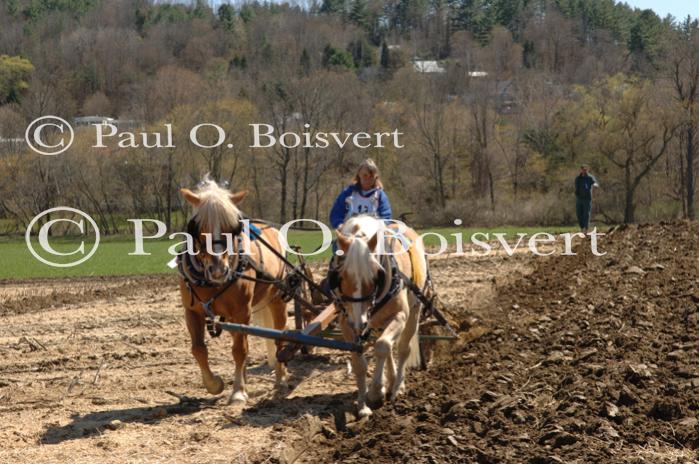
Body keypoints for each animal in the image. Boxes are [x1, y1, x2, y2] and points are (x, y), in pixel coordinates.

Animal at [180, 178, 290, 402]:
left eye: (233, 227)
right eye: (198, 226)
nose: (218, 270)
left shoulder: (242, 312)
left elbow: (240, 350)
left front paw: (238, 391)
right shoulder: (192, 311)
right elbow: (198, 350)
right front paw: (214, 384)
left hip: (277, 300)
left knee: (279, 337)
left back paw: (281, 378)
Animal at [334, 215, 426, 416]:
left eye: (376, 275)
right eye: (341, 276)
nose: (359, 323)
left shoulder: (400, 315)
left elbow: (382, 346)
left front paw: (376, 391)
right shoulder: (347, 322)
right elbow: (359, 362)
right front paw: (362, 406)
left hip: (414, 311)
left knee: (402, 348)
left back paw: (398, 386)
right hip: (377, 322)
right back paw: (390, 381)